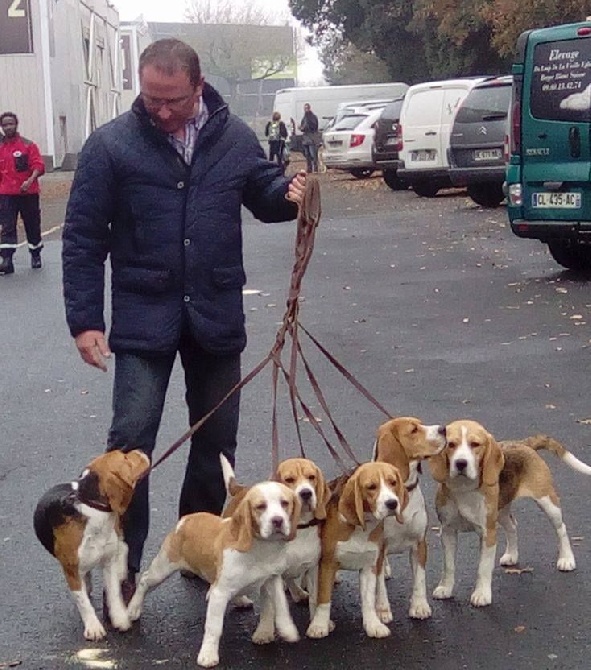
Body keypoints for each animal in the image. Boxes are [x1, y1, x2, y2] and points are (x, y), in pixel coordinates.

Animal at [32, 448, 150, 644]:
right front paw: (94, 627)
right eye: (125, 458)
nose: (141, 451)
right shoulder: (71, 570)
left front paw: (120, 617)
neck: (92, 508)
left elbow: (114, 592)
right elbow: (83, 602)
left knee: (123, 548)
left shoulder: (108, 562)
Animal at [130, 484, 302, 668]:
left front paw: (288, 630)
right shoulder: (220, 593)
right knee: (144, 580)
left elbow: (282, 605)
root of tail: (186, 519)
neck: (260, 548)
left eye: (285, 503)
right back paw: (133, 608)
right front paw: (208, 655)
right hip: (163, 567)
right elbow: (214, 627)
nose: (278, 521)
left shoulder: (273, 579)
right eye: (261, 506)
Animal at [306, 462, 408, 640]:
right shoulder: (327, 564)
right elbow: (323, 598)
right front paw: (319, 625)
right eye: (371, 487)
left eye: (393, 482)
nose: (392, 503)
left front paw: (373, 624)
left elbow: (368, 599)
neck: (361, 528)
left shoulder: (369, 565)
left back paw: (383, 608)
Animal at [374, 418, 448, 624]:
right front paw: (382, 611)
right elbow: (379, 586)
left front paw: (420, 606)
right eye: (414, 430)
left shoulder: (419, 543)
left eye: (421, 423)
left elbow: (420, 580)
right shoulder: (379, 548)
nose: (444, 429)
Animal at [430, 422, 591, 612]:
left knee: (561, 529)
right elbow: (448, 566)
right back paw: (512, 554)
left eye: (475, 444)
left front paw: (481, 595)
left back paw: (566, 559)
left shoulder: (488, 533)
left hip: (547, 502)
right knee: (512, 526)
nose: (461, 463)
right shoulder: (447, 531)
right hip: (501, 511)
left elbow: (483, 567)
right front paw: (445, 588)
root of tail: (523, 443)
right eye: (451, 444)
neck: (463, 487)